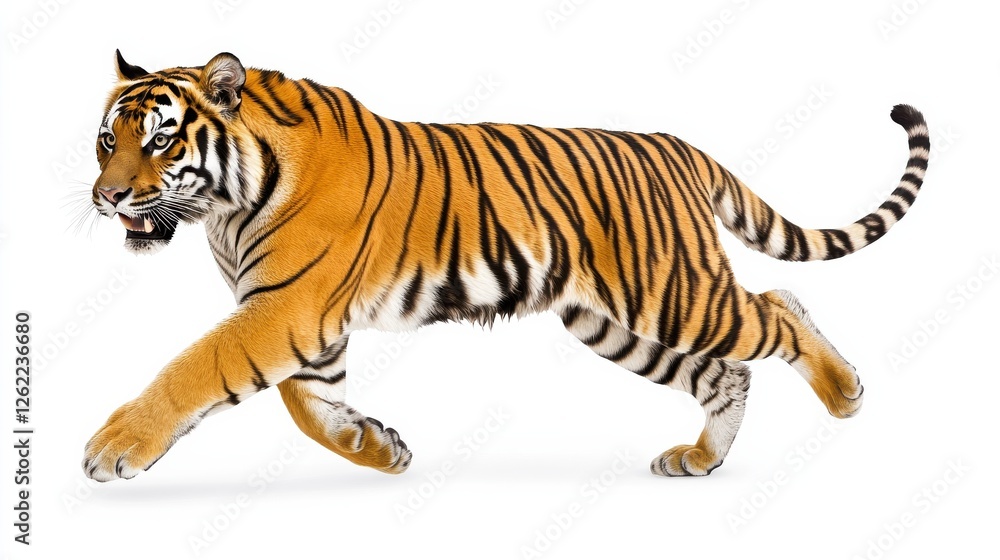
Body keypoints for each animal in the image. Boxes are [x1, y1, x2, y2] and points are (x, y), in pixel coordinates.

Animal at [84, 50, 928, 481]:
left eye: (160, 139)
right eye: (107, 140)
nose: (107, 195)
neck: (225, 206)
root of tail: (677, 145)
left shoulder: (286, 308)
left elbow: (197, 367)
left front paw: (115, 447)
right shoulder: (306, 323)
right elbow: (308, 405)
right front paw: (377, 448)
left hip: (674, 295)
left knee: (780, 303)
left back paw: (846, 393)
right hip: (614, 321)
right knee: (730, 372)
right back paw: (702, 459)